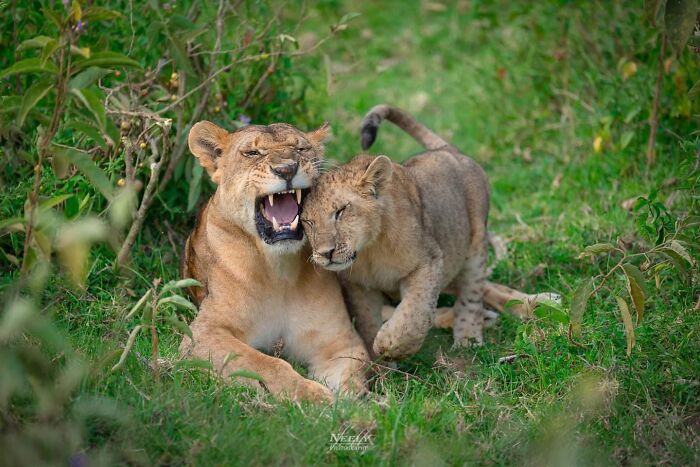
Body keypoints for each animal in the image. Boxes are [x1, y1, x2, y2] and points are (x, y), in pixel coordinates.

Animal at [180, 120, 369, 402]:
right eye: (252, 153)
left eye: (301, 148)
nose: (287, 169)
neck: (279, 271)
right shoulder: (202, 334)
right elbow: (267, 364)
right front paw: (316, 398)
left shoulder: (338, 340)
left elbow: (352, 376)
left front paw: (352, 406)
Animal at [301, 104, 557, 359]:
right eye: (307, 222)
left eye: (341, 211)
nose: (325, 254)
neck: (370, 250)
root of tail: (448, 149)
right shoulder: (358, 287)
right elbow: (368, 324)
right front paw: (382, 363)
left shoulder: (428, 262)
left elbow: (414, 314)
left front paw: (389, 344)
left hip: (473, 243)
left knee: (473, 290)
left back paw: (475, 333)